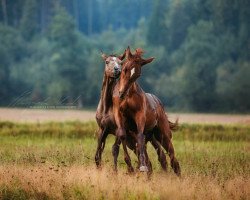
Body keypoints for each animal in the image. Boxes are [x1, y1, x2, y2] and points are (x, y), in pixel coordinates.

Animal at [112, 47, 181, 175]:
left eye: (138, 74)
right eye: (124, 69)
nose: (121, 93)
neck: (128, 96)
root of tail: (159, 103)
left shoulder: (140, 115)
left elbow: (140, 137)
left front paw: (142, 166)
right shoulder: (118, 114)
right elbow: (122, 135)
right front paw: (129, 166)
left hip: (163, 134)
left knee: (172, 158)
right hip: (151, 136)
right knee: (161, 156)